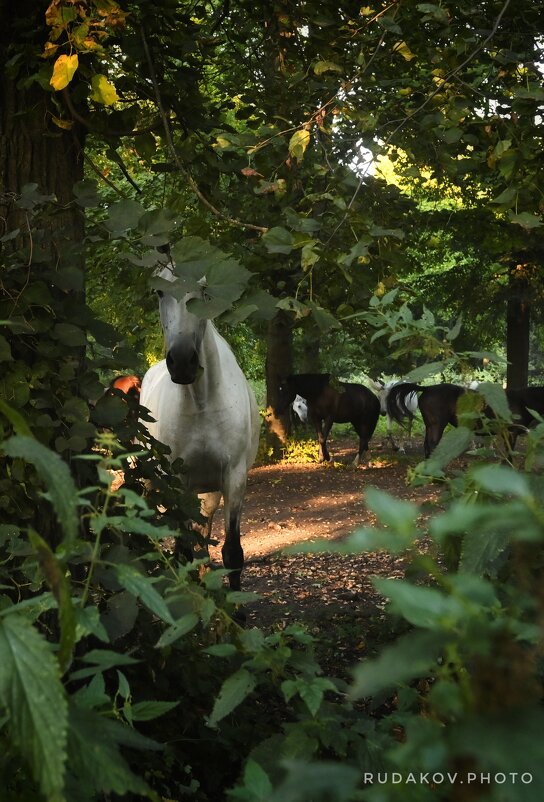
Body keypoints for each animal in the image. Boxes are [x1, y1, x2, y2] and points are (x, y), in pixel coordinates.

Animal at [139, 262, 260, 588]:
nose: (182, 362)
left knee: (202, 533)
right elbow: (182, 548)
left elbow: (232, 553)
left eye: (203, 290)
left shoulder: (234, 477)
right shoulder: (177, 479)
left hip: (209, 490)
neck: (202, 401)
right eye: (159, 292)